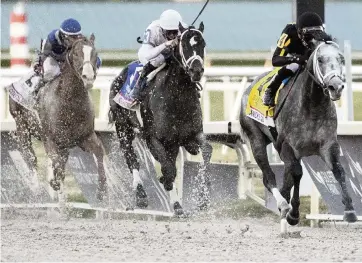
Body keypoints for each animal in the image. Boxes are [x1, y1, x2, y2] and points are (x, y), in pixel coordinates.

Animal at [37, 34, 107, 200]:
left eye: (95, 53)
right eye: (75, 53)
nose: (88, 77)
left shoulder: (85, 137)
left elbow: (99, 151)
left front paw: (101, 189)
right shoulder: (50, 139)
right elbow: (56, 164)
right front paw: (55, 182)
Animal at [110, 22, 212, 214]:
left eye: (203, 44)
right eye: (184, 44)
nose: (196, 71)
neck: (177, 98)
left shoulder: (190, 136)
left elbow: (206, 152)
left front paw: (204, 197)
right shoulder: (153, 138)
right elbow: (168, 169)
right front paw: (175, 199)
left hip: (171, 144)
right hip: (123, 128)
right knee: (131, 159)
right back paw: (141, 195)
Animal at [239, 38, 358, 226]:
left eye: (341, 59)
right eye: (320, 60)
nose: (336, 87)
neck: (313, 106)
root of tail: (248, 88)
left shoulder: (327, 145)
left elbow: (338, 170)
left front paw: (350, 210)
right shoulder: (287, 146)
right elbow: (297, 173)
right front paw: (293, 213)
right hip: (256, 139)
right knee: (268, 177)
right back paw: (282, 204)